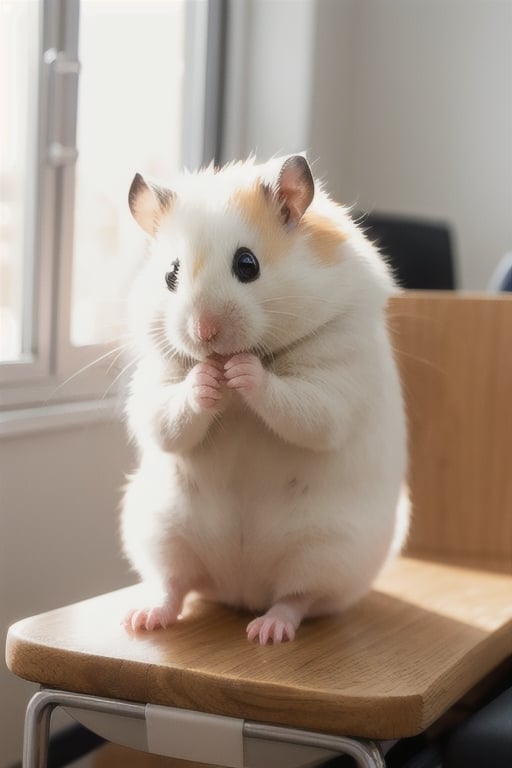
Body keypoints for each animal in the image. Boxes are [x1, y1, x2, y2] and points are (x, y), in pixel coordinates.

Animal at [120, 153, 408, 644]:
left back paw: (267, 631)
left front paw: (240, 371)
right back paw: (143, 619)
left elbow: (301, 408)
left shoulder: (334, 383)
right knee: (174, 584)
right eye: (170, 274)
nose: (204, 332)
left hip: (328, 551)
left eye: (247, 264)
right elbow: (167, 419)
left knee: (298, 597)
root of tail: (241, 589)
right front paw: (207, 378)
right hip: (160, 531)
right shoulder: (155, 385)